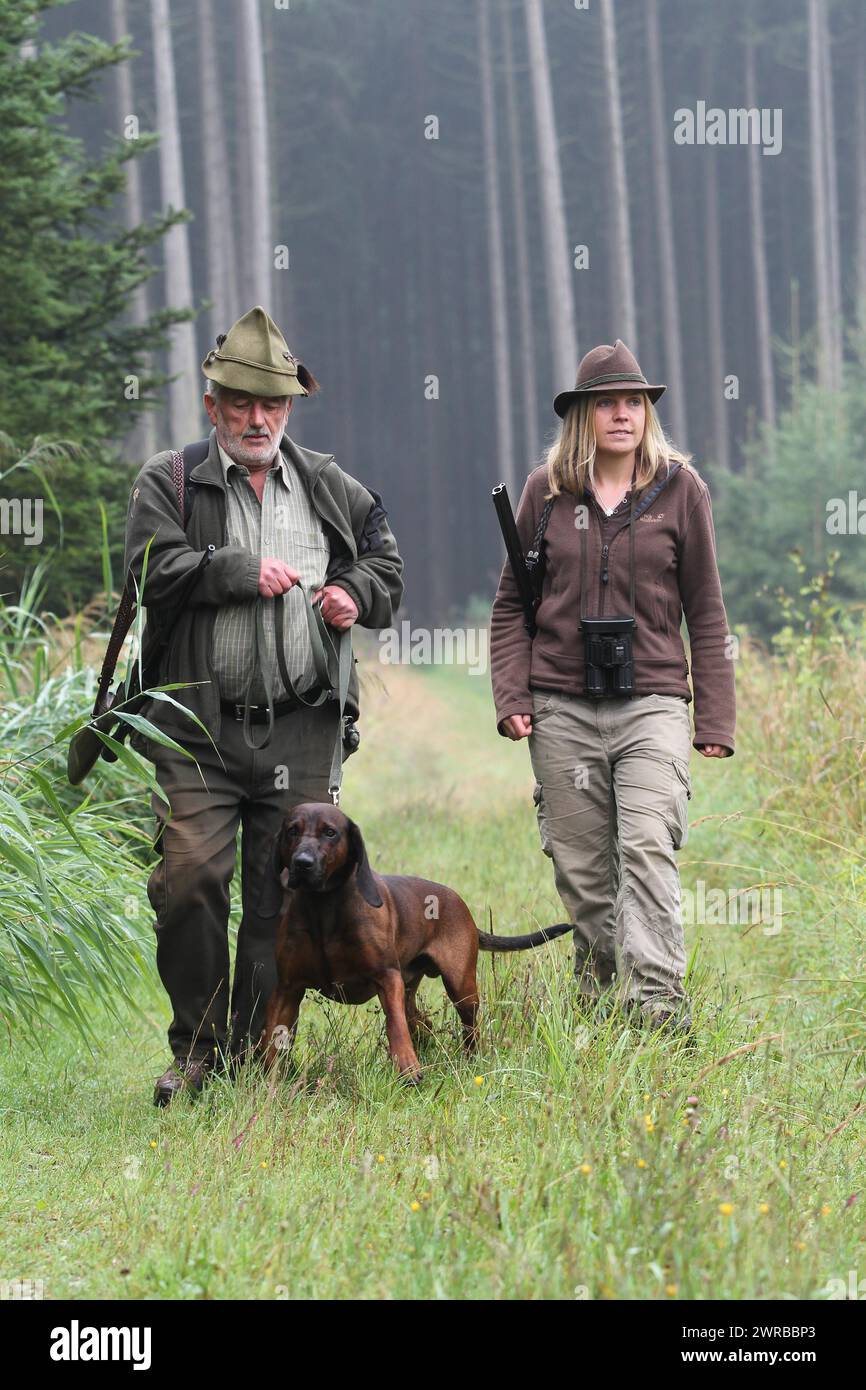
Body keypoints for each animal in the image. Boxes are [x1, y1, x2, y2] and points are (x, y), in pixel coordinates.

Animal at [257, 800, 569, 1078]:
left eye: (330, 832)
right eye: (292, 831)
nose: (302, 863)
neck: (323, 908)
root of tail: (459, 903)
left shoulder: (387, 978)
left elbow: (394, 1025)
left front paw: (408, 1068)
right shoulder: (287, 988)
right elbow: (272, 1037)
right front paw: (267, 1082)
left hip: (461, 988)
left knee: (467, 1029)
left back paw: (468, 1061)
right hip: (412, 992)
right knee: (422, 1022)